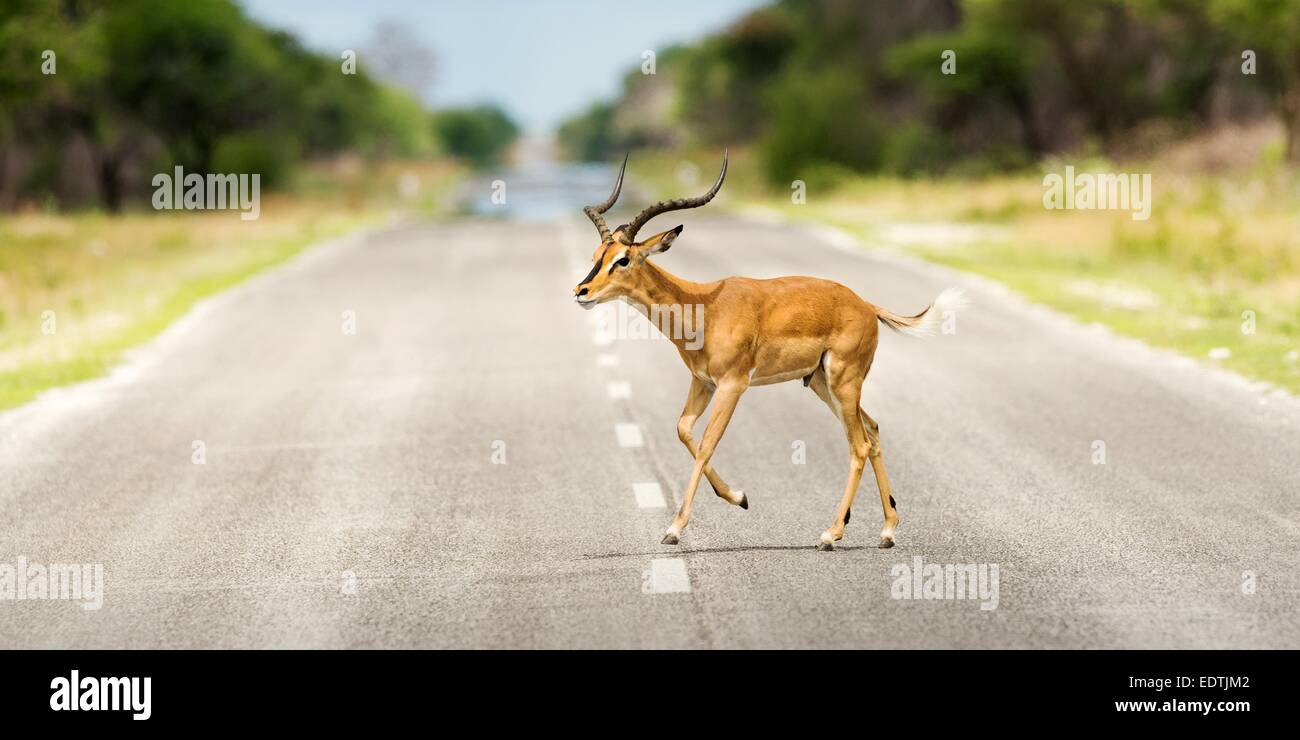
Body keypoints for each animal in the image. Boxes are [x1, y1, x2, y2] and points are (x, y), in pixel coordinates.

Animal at [573, 152, 963, 550]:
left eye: (623, 259)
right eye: (597, 255)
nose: (581, 291)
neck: (703, 308)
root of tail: (866, 305)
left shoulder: (733, 385)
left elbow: (707, 444)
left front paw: (674, 528)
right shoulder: (703, 382)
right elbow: (683, 430)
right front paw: (740, 497)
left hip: (843, 381)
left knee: (859, 446)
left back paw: (831, 533)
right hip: (822, 383)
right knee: (872, 430)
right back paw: (886, 531)